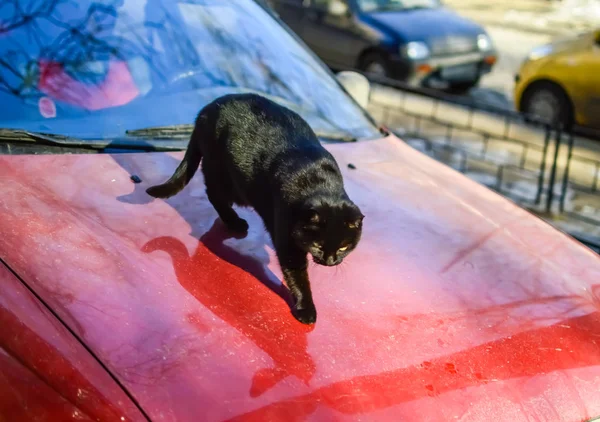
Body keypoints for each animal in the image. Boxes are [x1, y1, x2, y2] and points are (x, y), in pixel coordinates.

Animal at [149, 94, 366, 324]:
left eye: (344, 247)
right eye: (317, 244)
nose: (330, 262)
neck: (319, 183)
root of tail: (206, 110)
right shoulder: (286, 236)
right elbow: (296, 273)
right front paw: (305, 307)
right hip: (227, 176)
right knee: (214, 193)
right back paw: (234, 222)